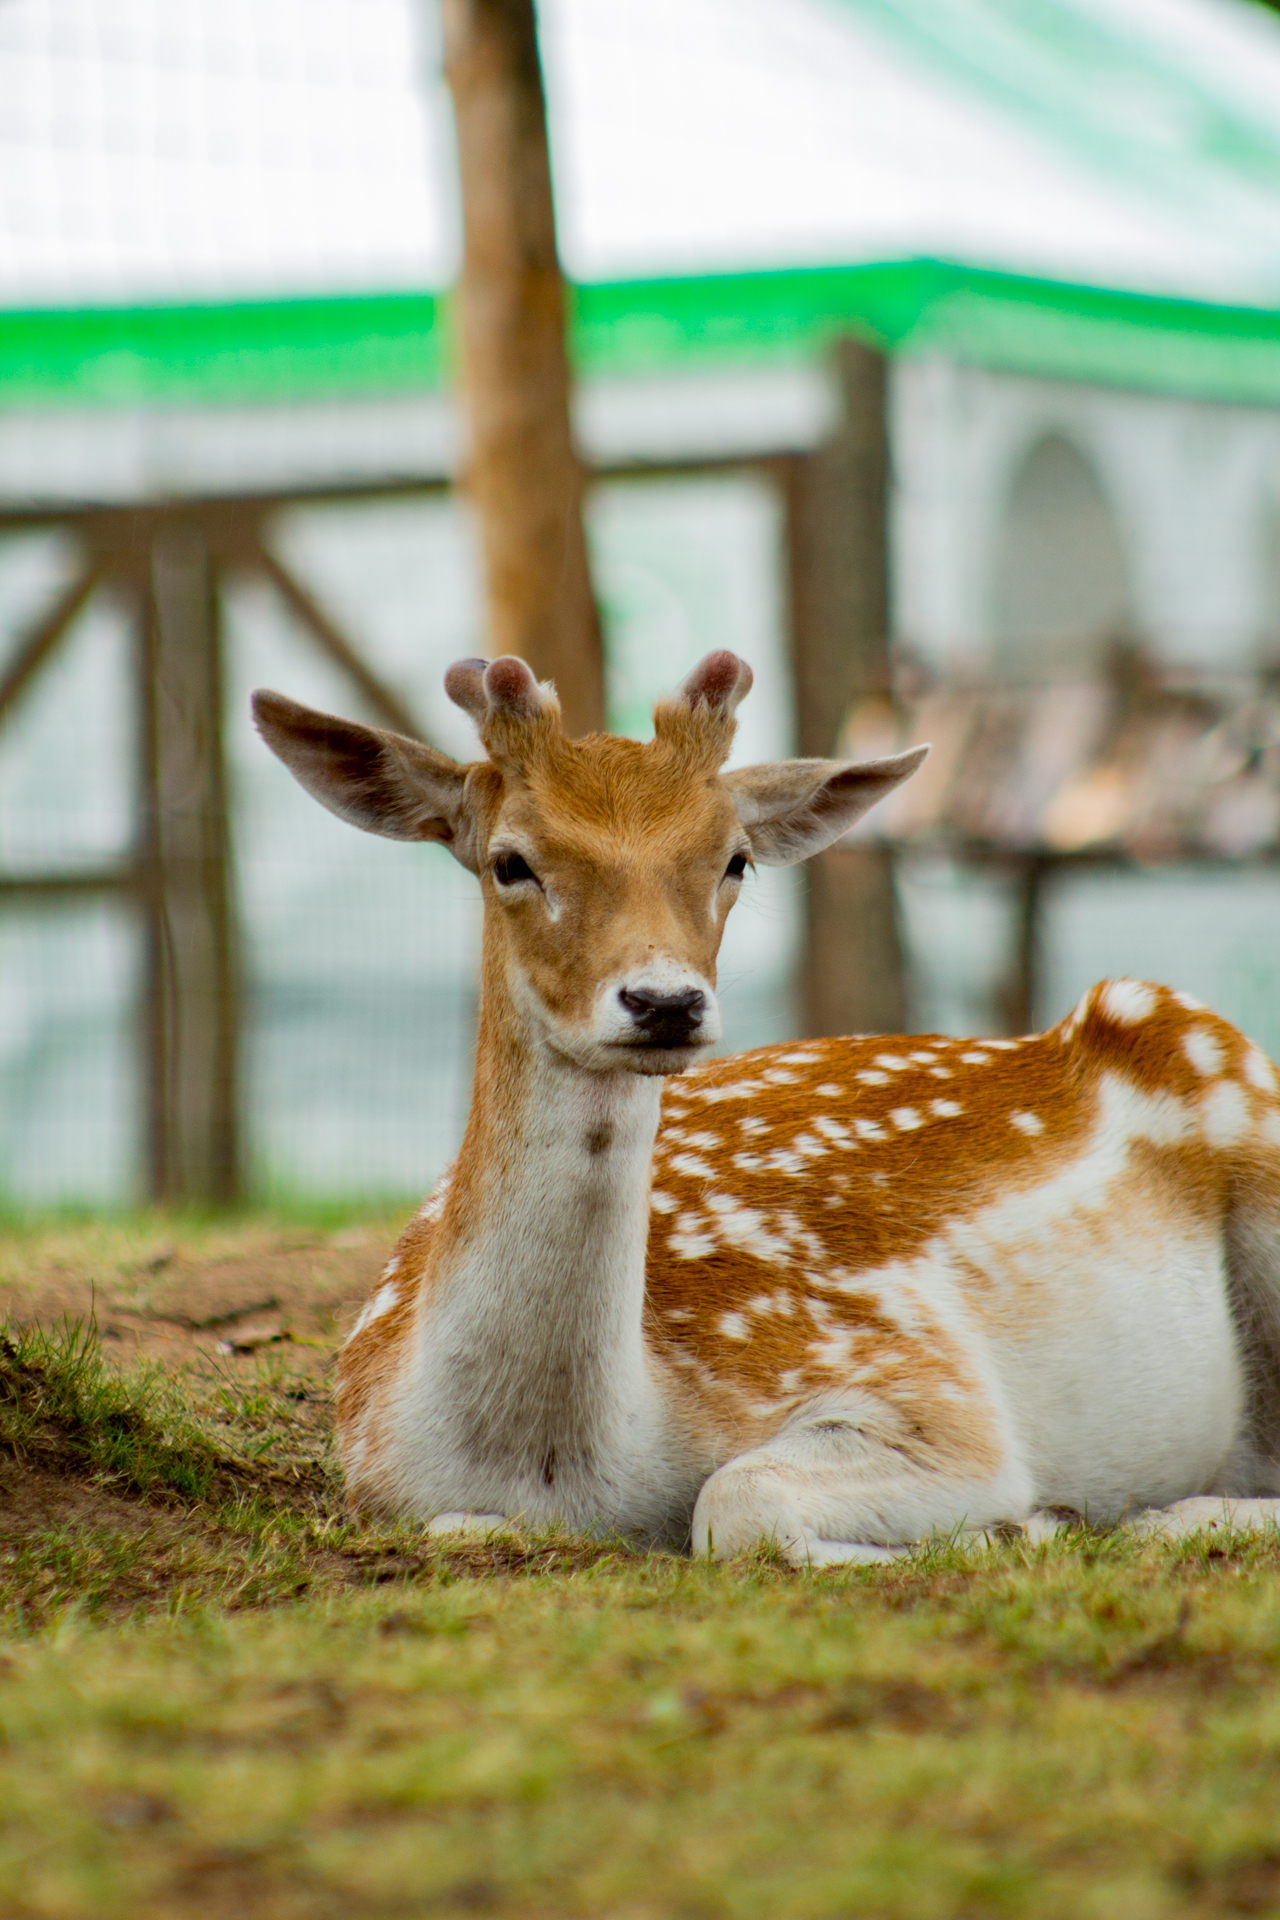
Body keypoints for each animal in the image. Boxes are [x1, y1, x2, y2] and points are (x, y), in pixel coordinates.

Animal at [253, 656, 1280, 1559]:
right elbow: (462, 1528)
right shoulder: (380, 1480)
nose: (664, 1001)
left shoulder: (912, 1377)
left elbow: (735, 1502)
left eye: (734, 859)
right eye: (511, 861)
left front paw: (1026, 1522)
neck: (564, 1463)